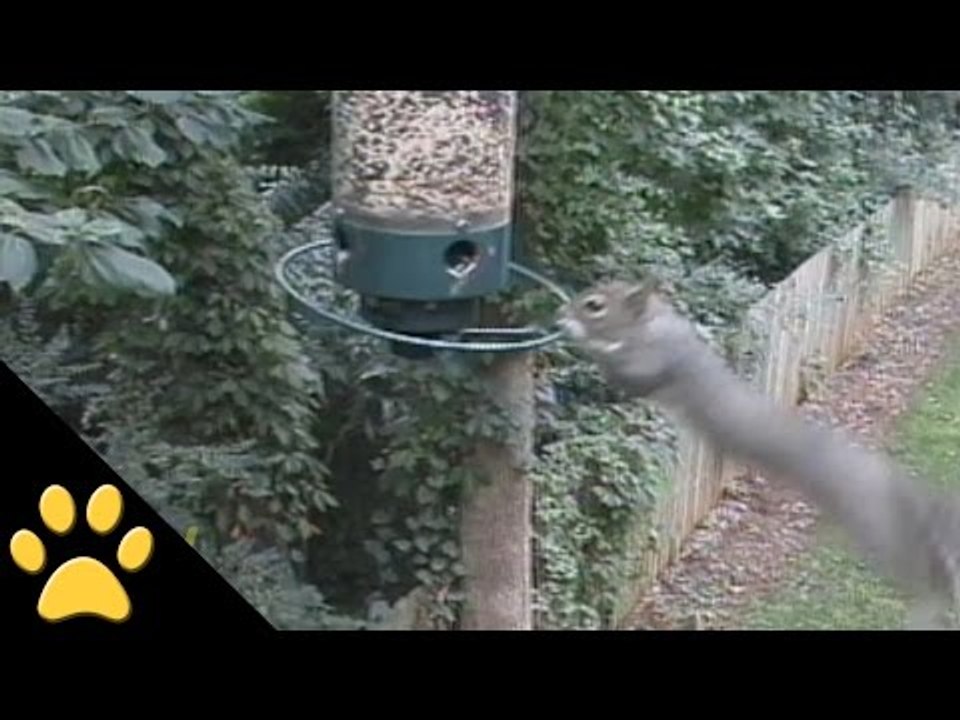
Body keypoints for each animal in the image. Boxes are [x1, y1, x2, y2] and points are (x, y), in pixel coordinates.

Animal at [557, 279, 960, 629]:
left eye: (595, 306)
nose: (560, 317)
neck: (652, 325)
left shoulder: (652, 361)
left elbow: (628, 376)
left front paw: (585, 344)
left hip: (879, 530)